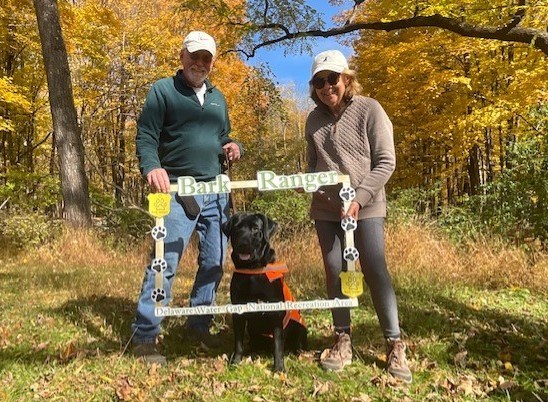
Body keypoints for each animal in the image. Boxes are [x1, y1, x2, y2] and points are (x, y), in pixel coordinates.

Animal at [223, 212, 308, 372]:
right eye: (236, 228)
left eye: (255, 228)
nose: (243, 244)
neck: (252, 271)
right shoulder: (238, 309)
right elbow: (238, 342)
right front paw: (236, 361)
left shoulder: (275, 312)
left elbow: (278, 345)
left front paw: (279, 368)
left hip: (299, 327)